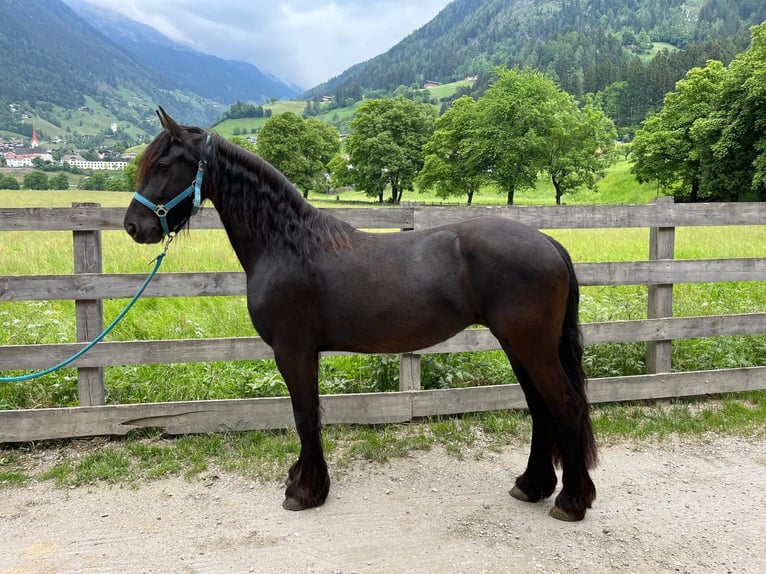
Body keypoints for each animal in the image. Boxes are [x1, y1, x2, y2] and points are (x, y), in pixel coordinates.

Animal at [124, 108, 597, 521]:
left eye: (163, 164)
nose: (133, 226)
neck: (286, 245)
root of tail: (548, 242)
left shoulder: (292, 350)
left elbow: (304, 415)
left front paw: (304, 491)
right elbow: (309, 413)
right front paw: (303, 480)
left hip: (531, 347)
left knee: (565, 405)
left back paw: (571, 501)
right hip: (519, 346)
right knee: (540, 408)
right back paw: (532, 485)